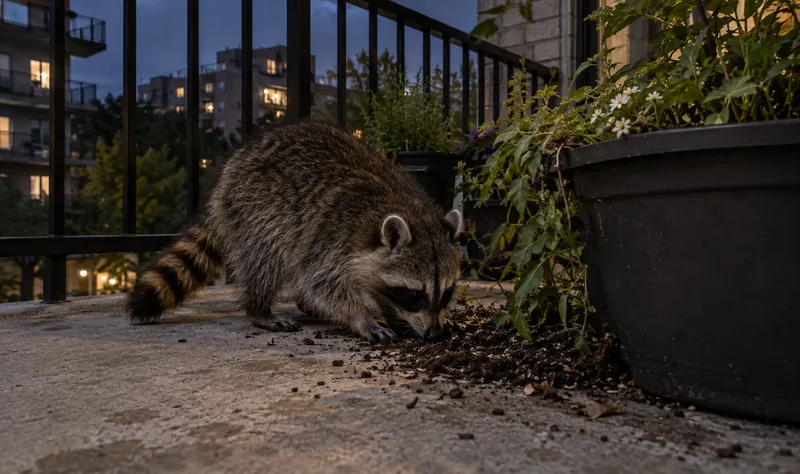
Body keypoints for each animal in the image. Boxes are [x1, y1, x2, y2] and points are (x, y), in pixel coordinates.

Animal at [127, 120, 463, 343]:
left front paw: (389, 310)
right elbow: (322, 283)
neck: (405, 207)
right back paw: (259, 308)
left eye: (447, 293)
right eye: (414, 294)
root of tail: (231, 168)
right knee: (266, 256)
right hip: (258, 204)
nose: (435, 334)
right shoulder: (334, 234)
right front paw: (360, 317)